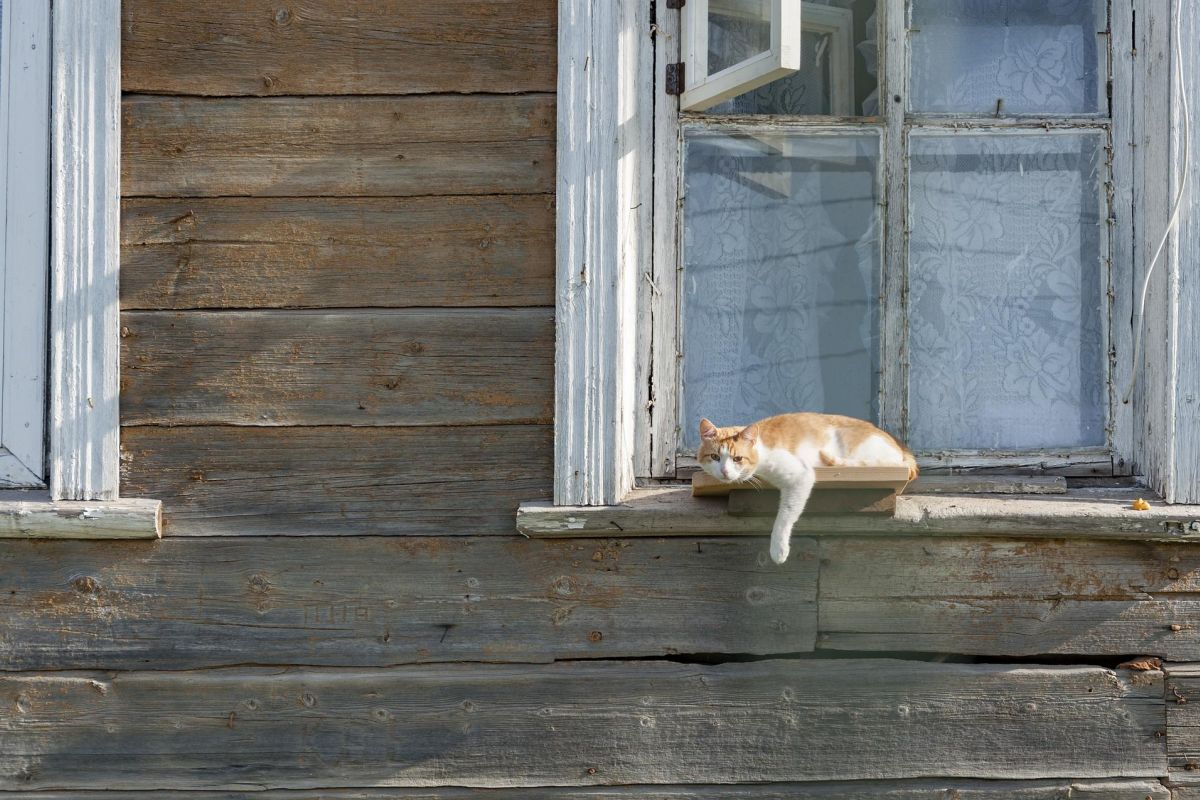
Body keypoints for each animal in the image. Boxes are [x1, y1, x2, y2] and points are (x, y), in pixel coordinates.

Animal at [700, 417, 912, 566]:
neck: (760, 449)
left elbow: (785, 515)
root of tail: (901, 448)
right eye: (715, 457)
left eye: (737, 459)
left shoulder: (800, 475)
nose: (724, 471)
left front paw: (778, 548)